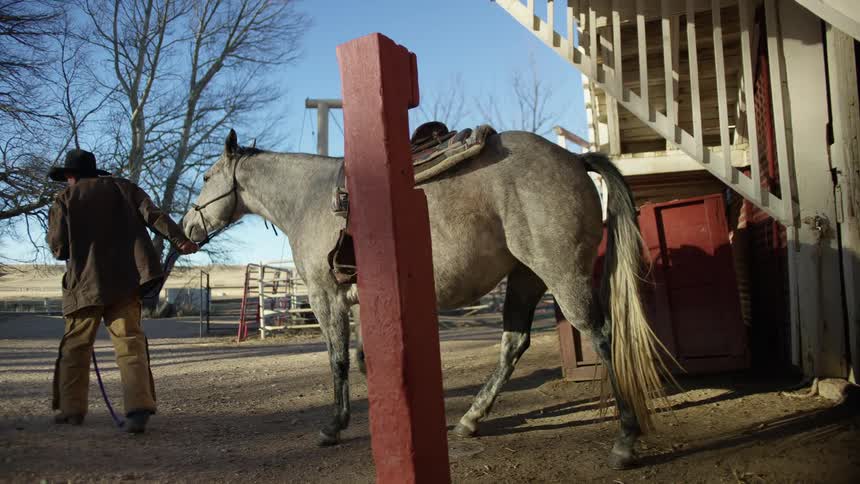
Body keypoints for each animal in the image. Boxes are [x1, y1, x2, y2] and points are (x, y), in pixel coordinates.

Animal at [182, 128, 669, 469]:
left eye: (205, 177)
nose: (186, 227)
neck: (311, 198)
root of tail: (574, 159)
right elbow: (365, 359)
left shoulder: (326, 295)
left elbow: (338, 361)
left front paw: (334, 426)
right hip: (526, 278)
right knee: (514, 344)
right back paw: (471, 418)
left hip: (562, 276)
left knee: (602, 337)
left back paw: (625, 440)